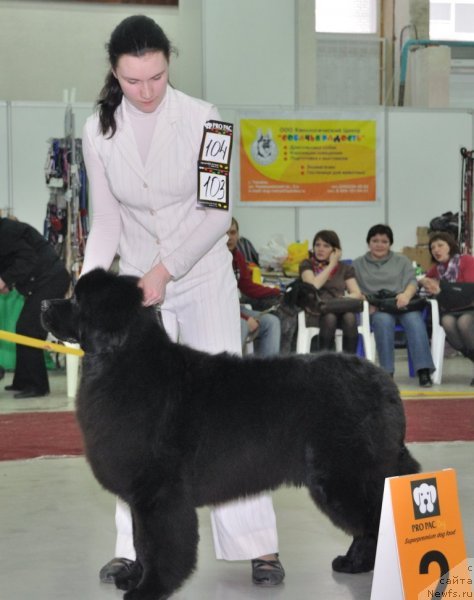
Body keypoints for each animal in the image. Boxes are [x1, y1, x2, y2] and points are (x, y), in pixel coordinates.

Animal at [40, 270, 418, 596]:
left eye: (77, 300)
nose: (43, 304)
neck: (123, 361)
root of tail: (383, 381)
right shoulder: (140, 495)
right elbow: (140, 541)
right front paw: (134, 579)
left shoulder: (159, 492)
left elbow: (157, 544)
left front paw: (150, 589)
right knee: (368, 525)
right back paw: (354, 563)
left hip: (346, 474)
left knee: (375, 517)